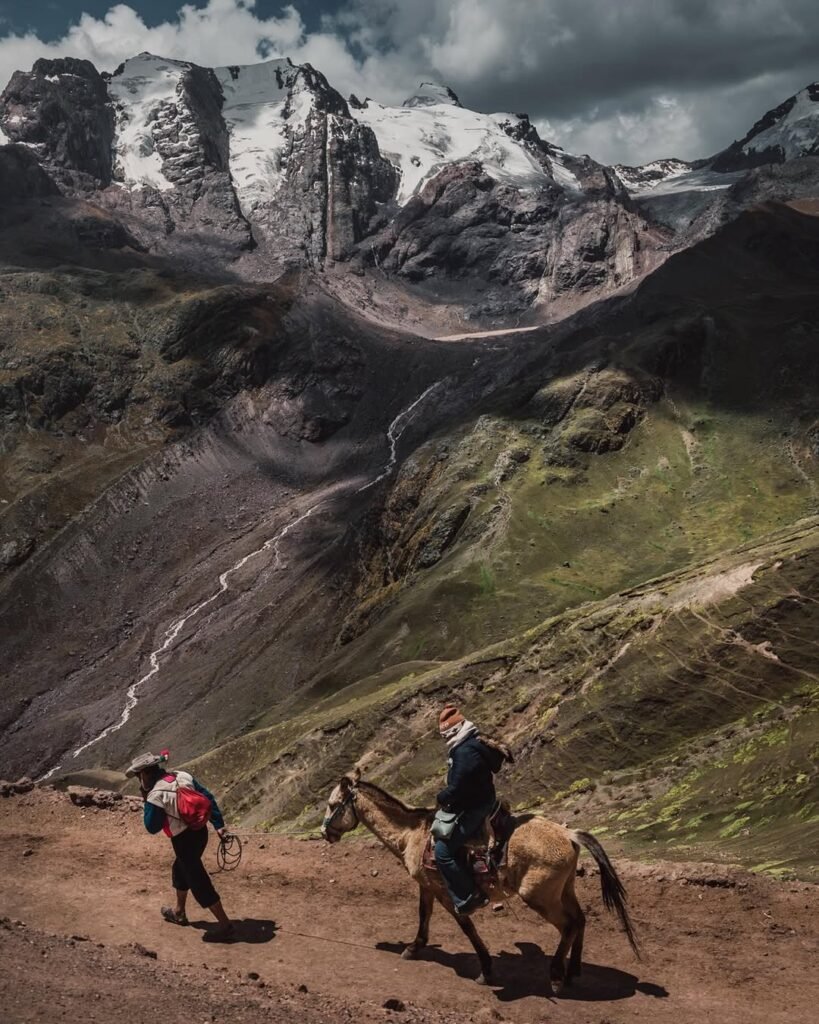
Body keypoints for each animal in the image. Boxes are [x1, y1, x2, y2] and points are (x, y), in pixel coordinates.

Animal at [319, 770, 638, 995]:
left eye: (333, 805)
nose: (325, 833)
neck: (412, 834)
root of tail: (568, 834)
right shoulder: (427, 886)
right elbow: (424, 915)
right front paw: (413, 948)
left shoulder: (448, 892)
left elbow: (466, 926)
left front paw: (485, 969)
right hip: (565, 889)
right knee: (580, 920)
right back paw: (573, 972)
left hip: (540, 897)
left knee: (569, 925)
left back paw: (557, 976)